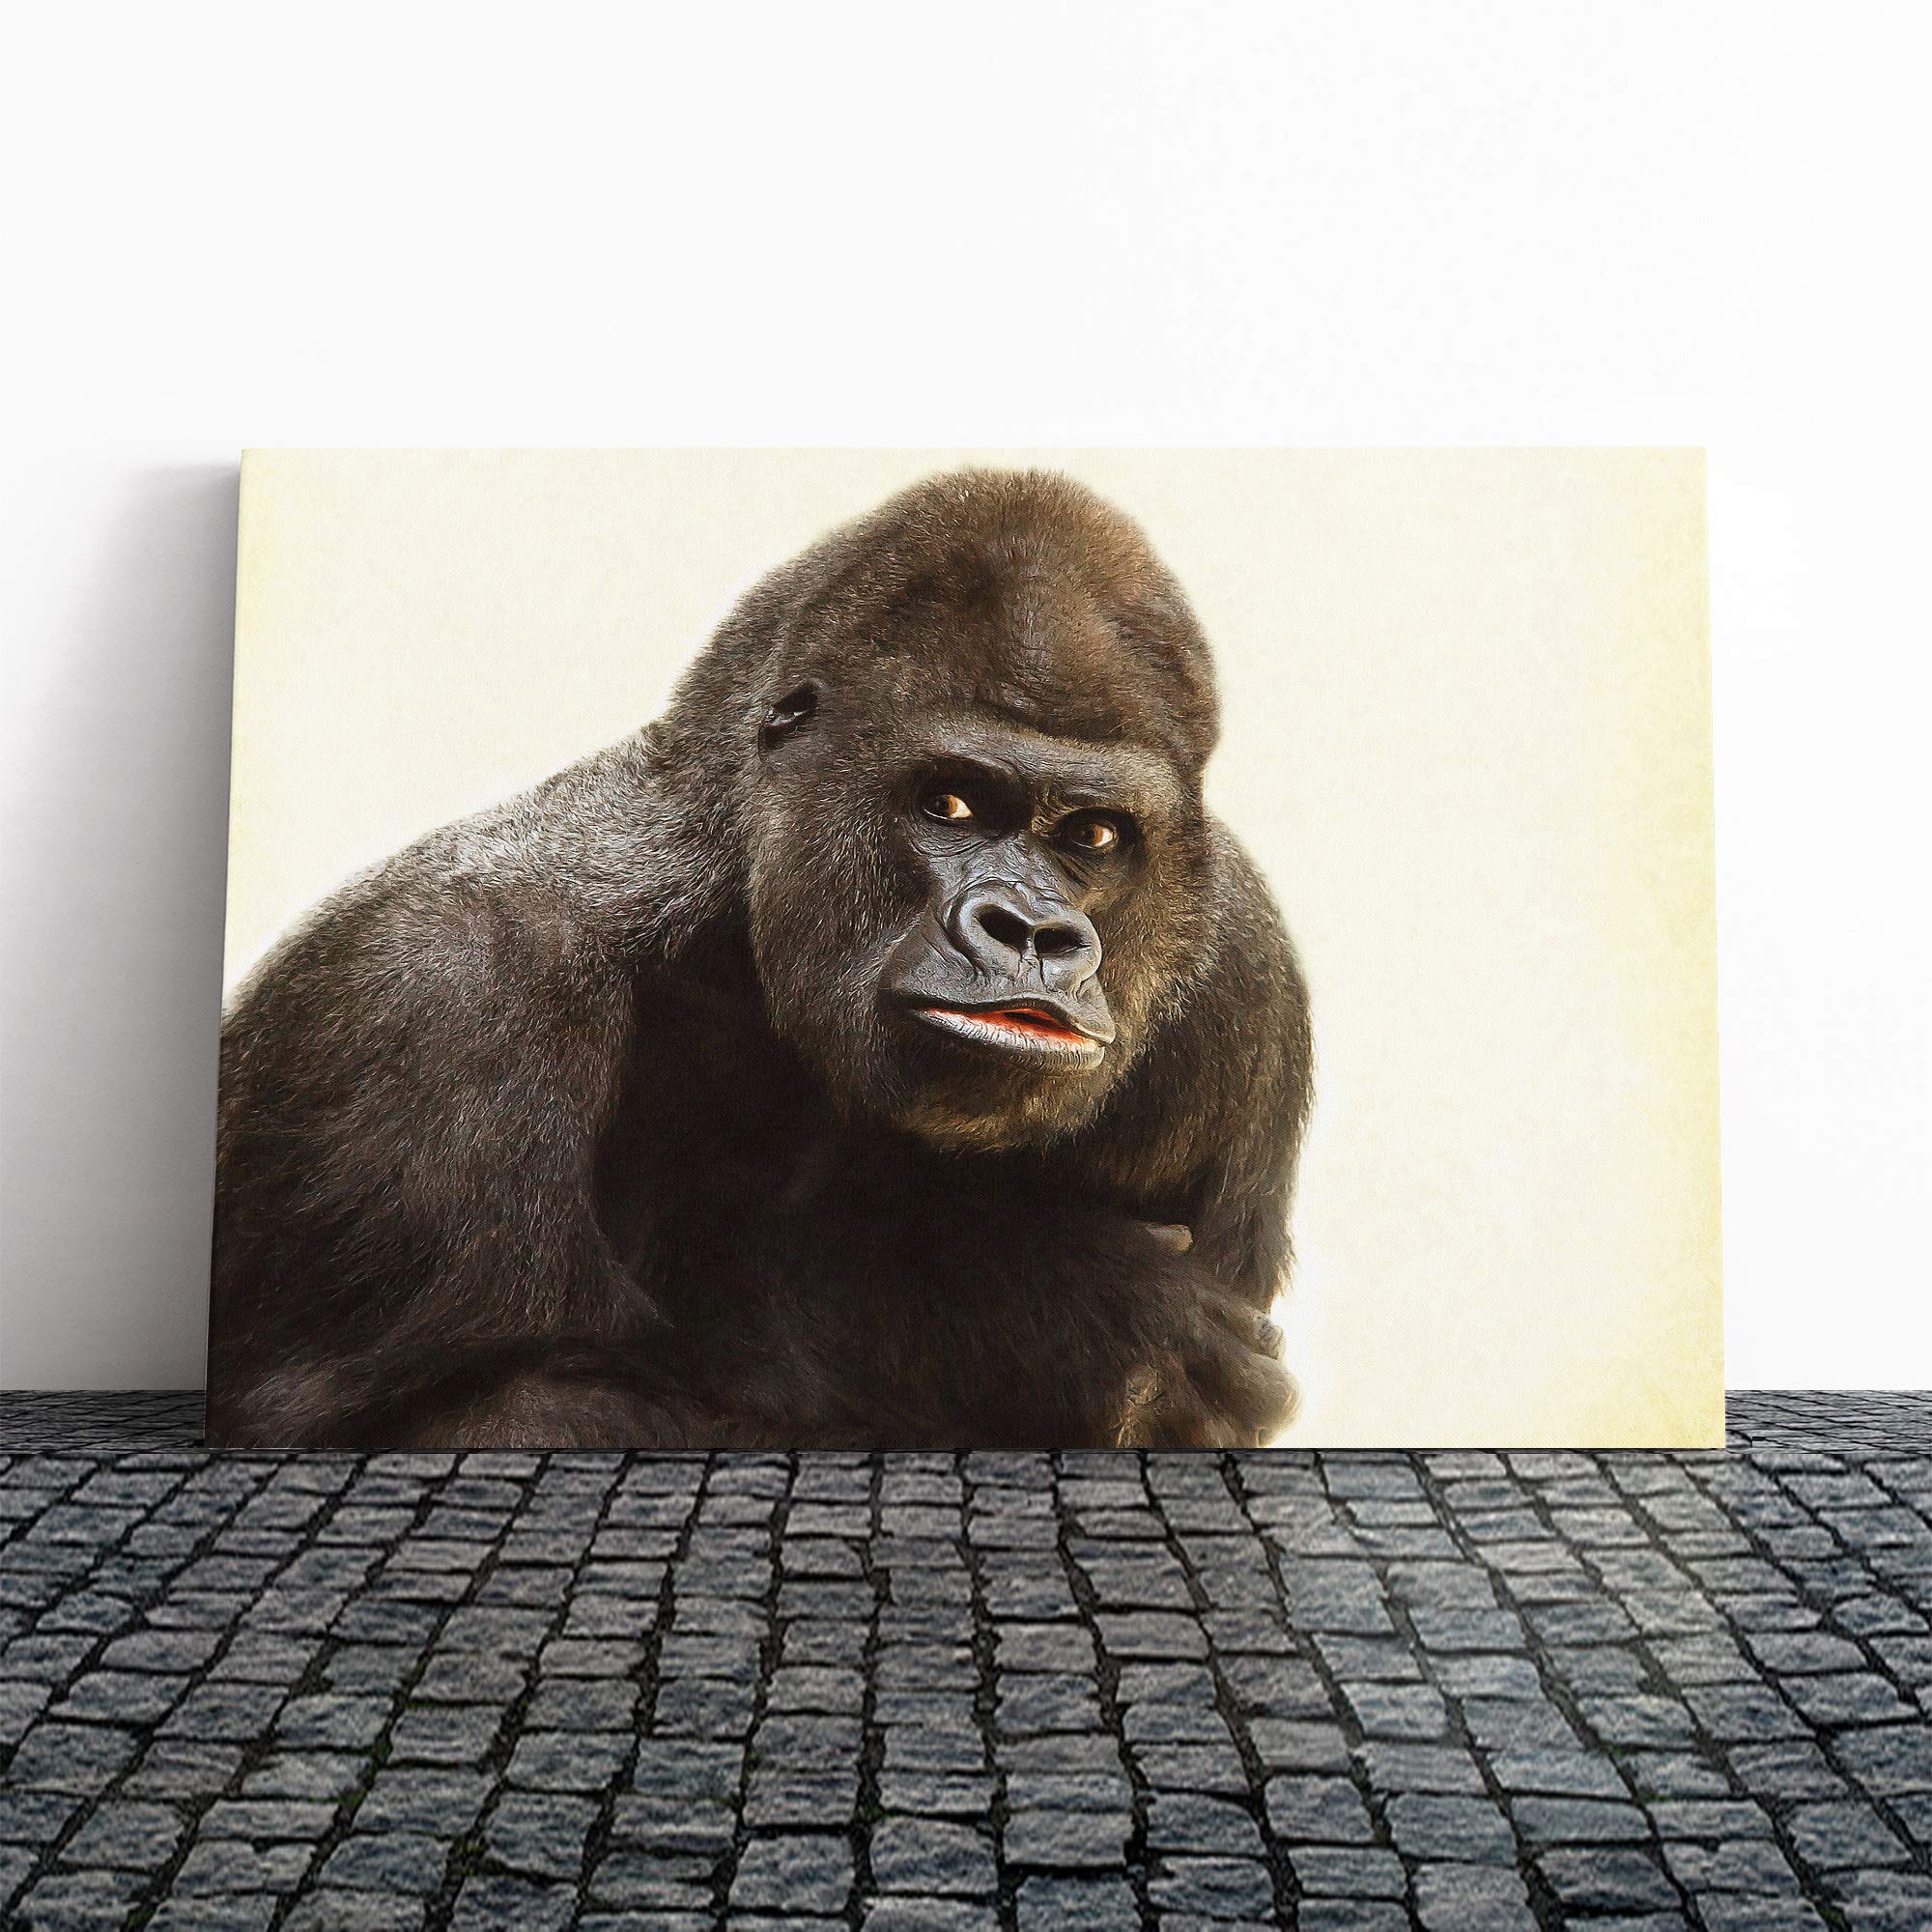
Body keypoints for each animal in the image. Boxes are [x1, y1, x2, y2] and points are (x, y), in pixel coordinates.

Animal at [205, 469, 1312, 1448]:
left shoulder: (1241, 982)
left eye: (1092, 835)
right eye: (948, 802)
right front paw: (1041, 1317)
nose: (1032, 934)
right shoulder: (433, 996)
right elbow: (460, 1423)